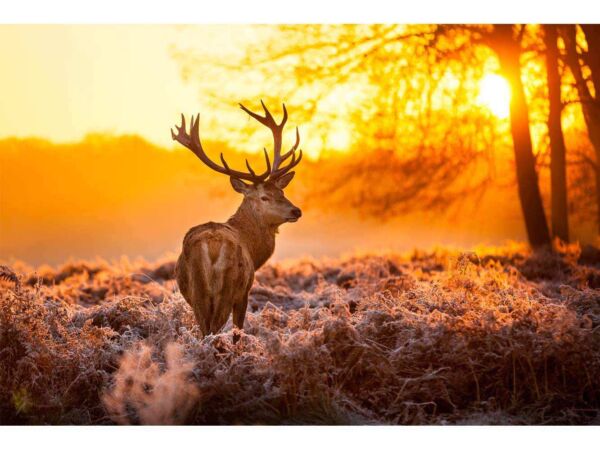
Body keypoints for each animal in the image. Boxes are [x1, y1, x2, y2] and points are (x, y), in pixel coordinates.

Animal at [173, 102, 304, 342]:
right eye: (264, 197)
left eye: (281, 191)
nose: (296, 210)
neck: (253, 249)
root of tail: (211, 245)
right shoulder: (244, 293)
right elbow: (238, 332)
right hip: (227, 289)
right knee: (214, 330)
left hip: (197, 293)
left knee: (204, 331)